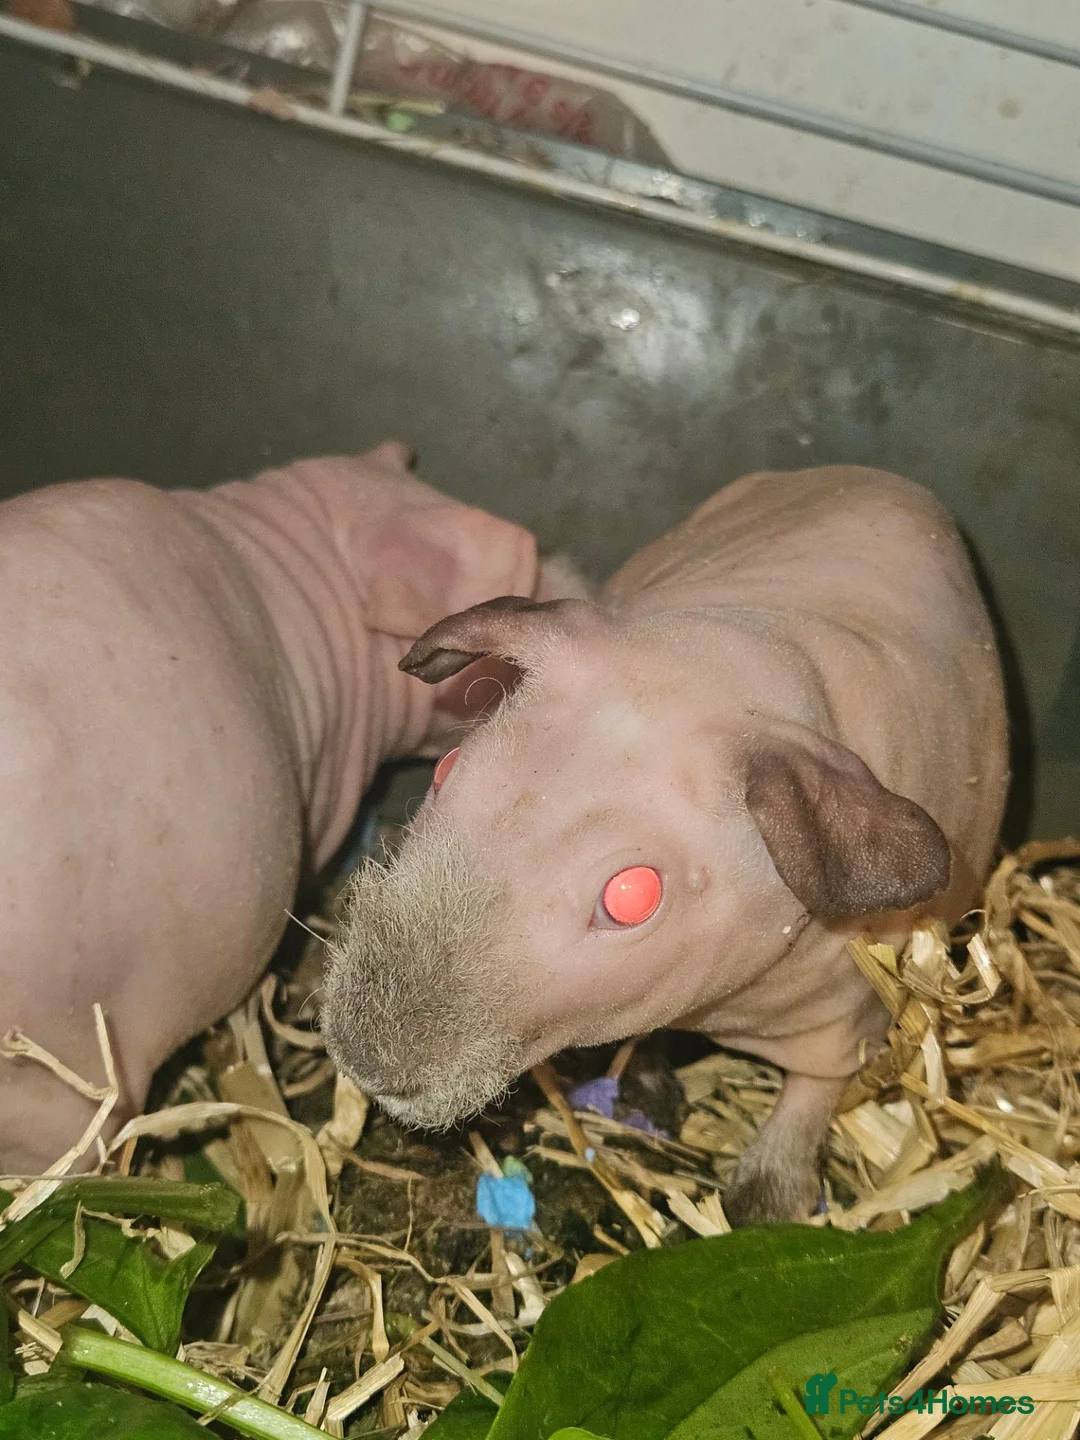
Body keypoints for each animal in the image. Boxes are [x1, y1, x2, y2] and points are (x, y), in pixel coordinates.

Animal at [322, 465, 1009, 1226]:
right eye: (444, 772)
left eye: (632, 895)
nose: (364, 1058)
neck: (751, 649)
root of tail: (879, 477)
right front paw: (645, 1085)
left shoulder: (849, 1013)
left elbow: (812, 1092)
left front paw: (766, 1201)